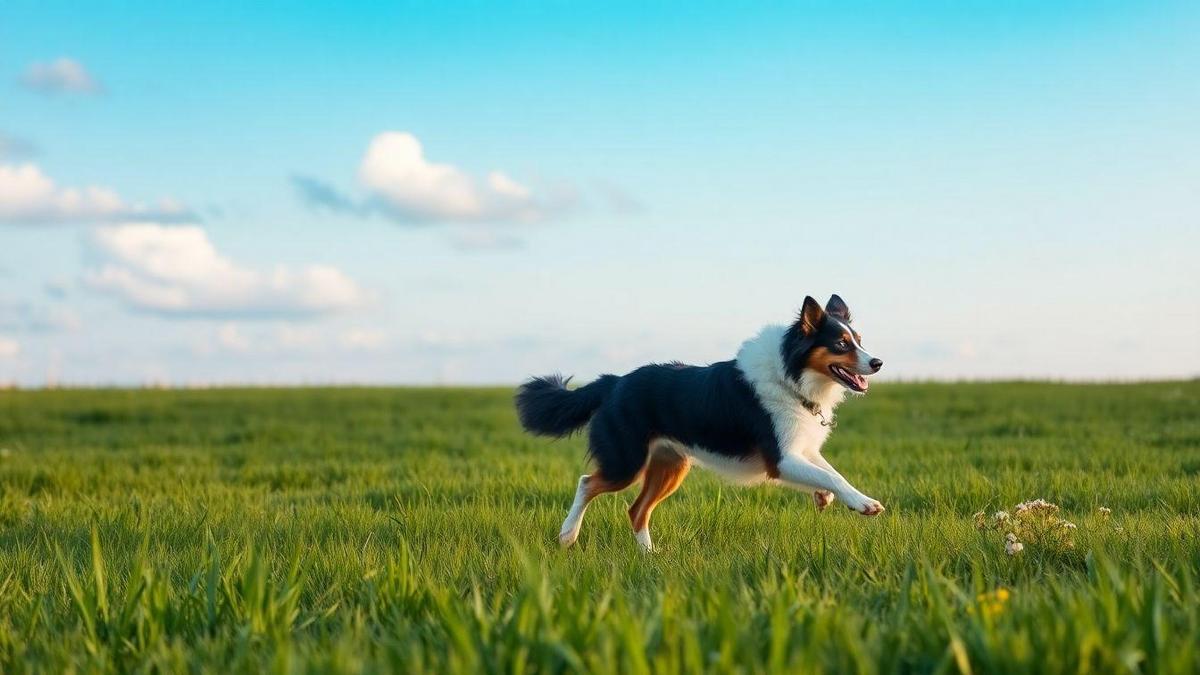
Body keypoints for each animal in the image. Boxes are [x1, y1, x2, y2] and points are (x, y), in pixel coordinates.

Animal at [516, 291, 883, 550]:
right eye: (841, 344)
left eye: (860, 341)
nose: (878, 362)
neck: (790, 376)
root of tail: (614, 382)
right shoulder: (779, 459)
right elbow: (832, 476)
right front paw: (864, 504)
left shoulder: (800, 449)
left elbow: (831, 473)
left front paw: (828, 498)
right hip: (627, 462)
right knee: (586, 483)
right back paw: (567, 535)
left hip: (670, 466)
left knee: (636, 510)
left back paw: (650, 556)